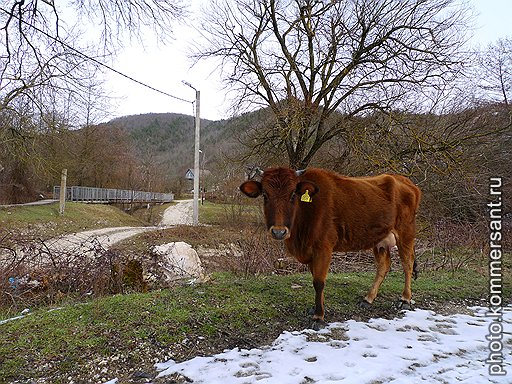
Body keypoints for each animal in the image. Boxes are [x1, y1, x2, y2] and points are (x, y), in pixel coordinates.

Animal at [240, 166, 420, 328]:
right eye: (265, 195)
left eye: (292, 195)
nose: (278, 231)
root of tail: (404, 180)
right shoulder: (312, 252)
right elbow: (316, 278)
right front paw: (318, 307)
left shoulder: (323, 248)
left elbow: (319, 282)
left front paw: (319, 316)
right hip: (380, 239)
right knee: (383, 265)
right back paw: (368, 298)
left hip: (405, 233)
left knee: (407, 264)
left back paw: (405, 298)